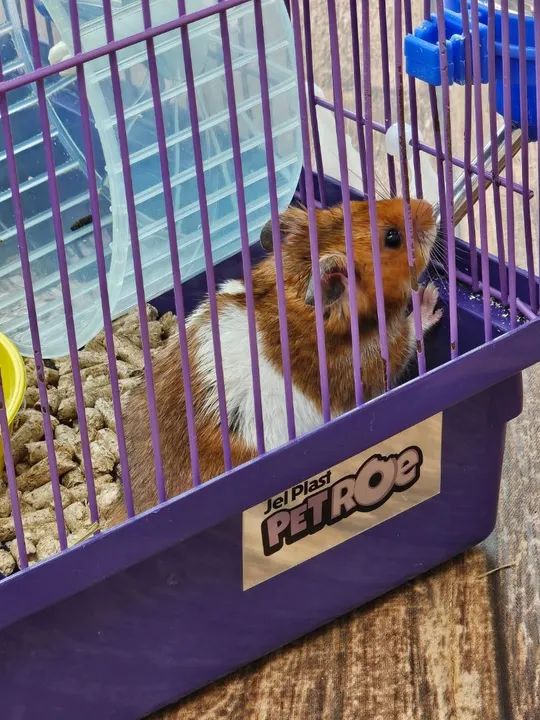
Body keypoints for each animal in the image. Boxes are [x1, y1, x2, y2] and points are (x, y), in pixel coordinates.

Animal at [107, 198, 441, 525]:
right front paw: (431, 296)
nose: (431, 207)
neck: (298, 295)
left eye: (356, 202)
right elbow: (409, 336)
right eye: (392, 238)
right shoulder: (377, 359)